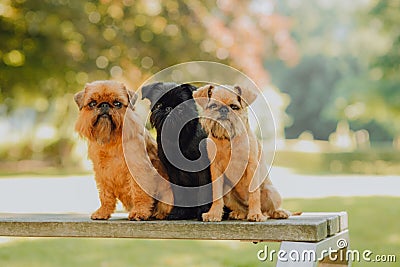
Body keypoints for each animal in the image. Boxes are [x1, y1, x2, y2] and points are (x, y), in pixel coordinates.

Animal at [74, 80, 173, 222]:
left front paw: (139, 212)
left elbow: (139, 192)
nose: (104, 104)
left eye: (117, 103)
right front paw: (103, 211)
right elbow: (105, 195)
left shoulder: (138, 168)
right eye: (92, 103)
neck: (111, 140)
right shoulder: (102, 173)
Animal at [142, 82, 214, 221]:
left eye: (181, 104)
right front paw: (179, 212)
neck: (177, 136)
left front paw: (204, 211)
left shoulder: (203, 168)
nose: (169, 108)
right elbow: (179, 193)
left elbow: (204, 191)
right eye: (158, 105)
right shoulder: (173, 172)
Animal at [193, 85, 290, 223]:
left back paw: (276, 212)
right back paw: (240, 213)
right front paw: (214, 214)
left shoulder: (251, 166)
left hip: (272, 192)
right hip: (227, 192)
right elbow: (216, 194)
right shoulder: (215, 169)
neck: (228, 139)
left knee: (268, 210)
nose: (224, 109)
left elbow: (254, 194)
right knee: (243, 209)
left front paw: (255, 214)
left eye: (234, 107)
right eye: (213, 106)